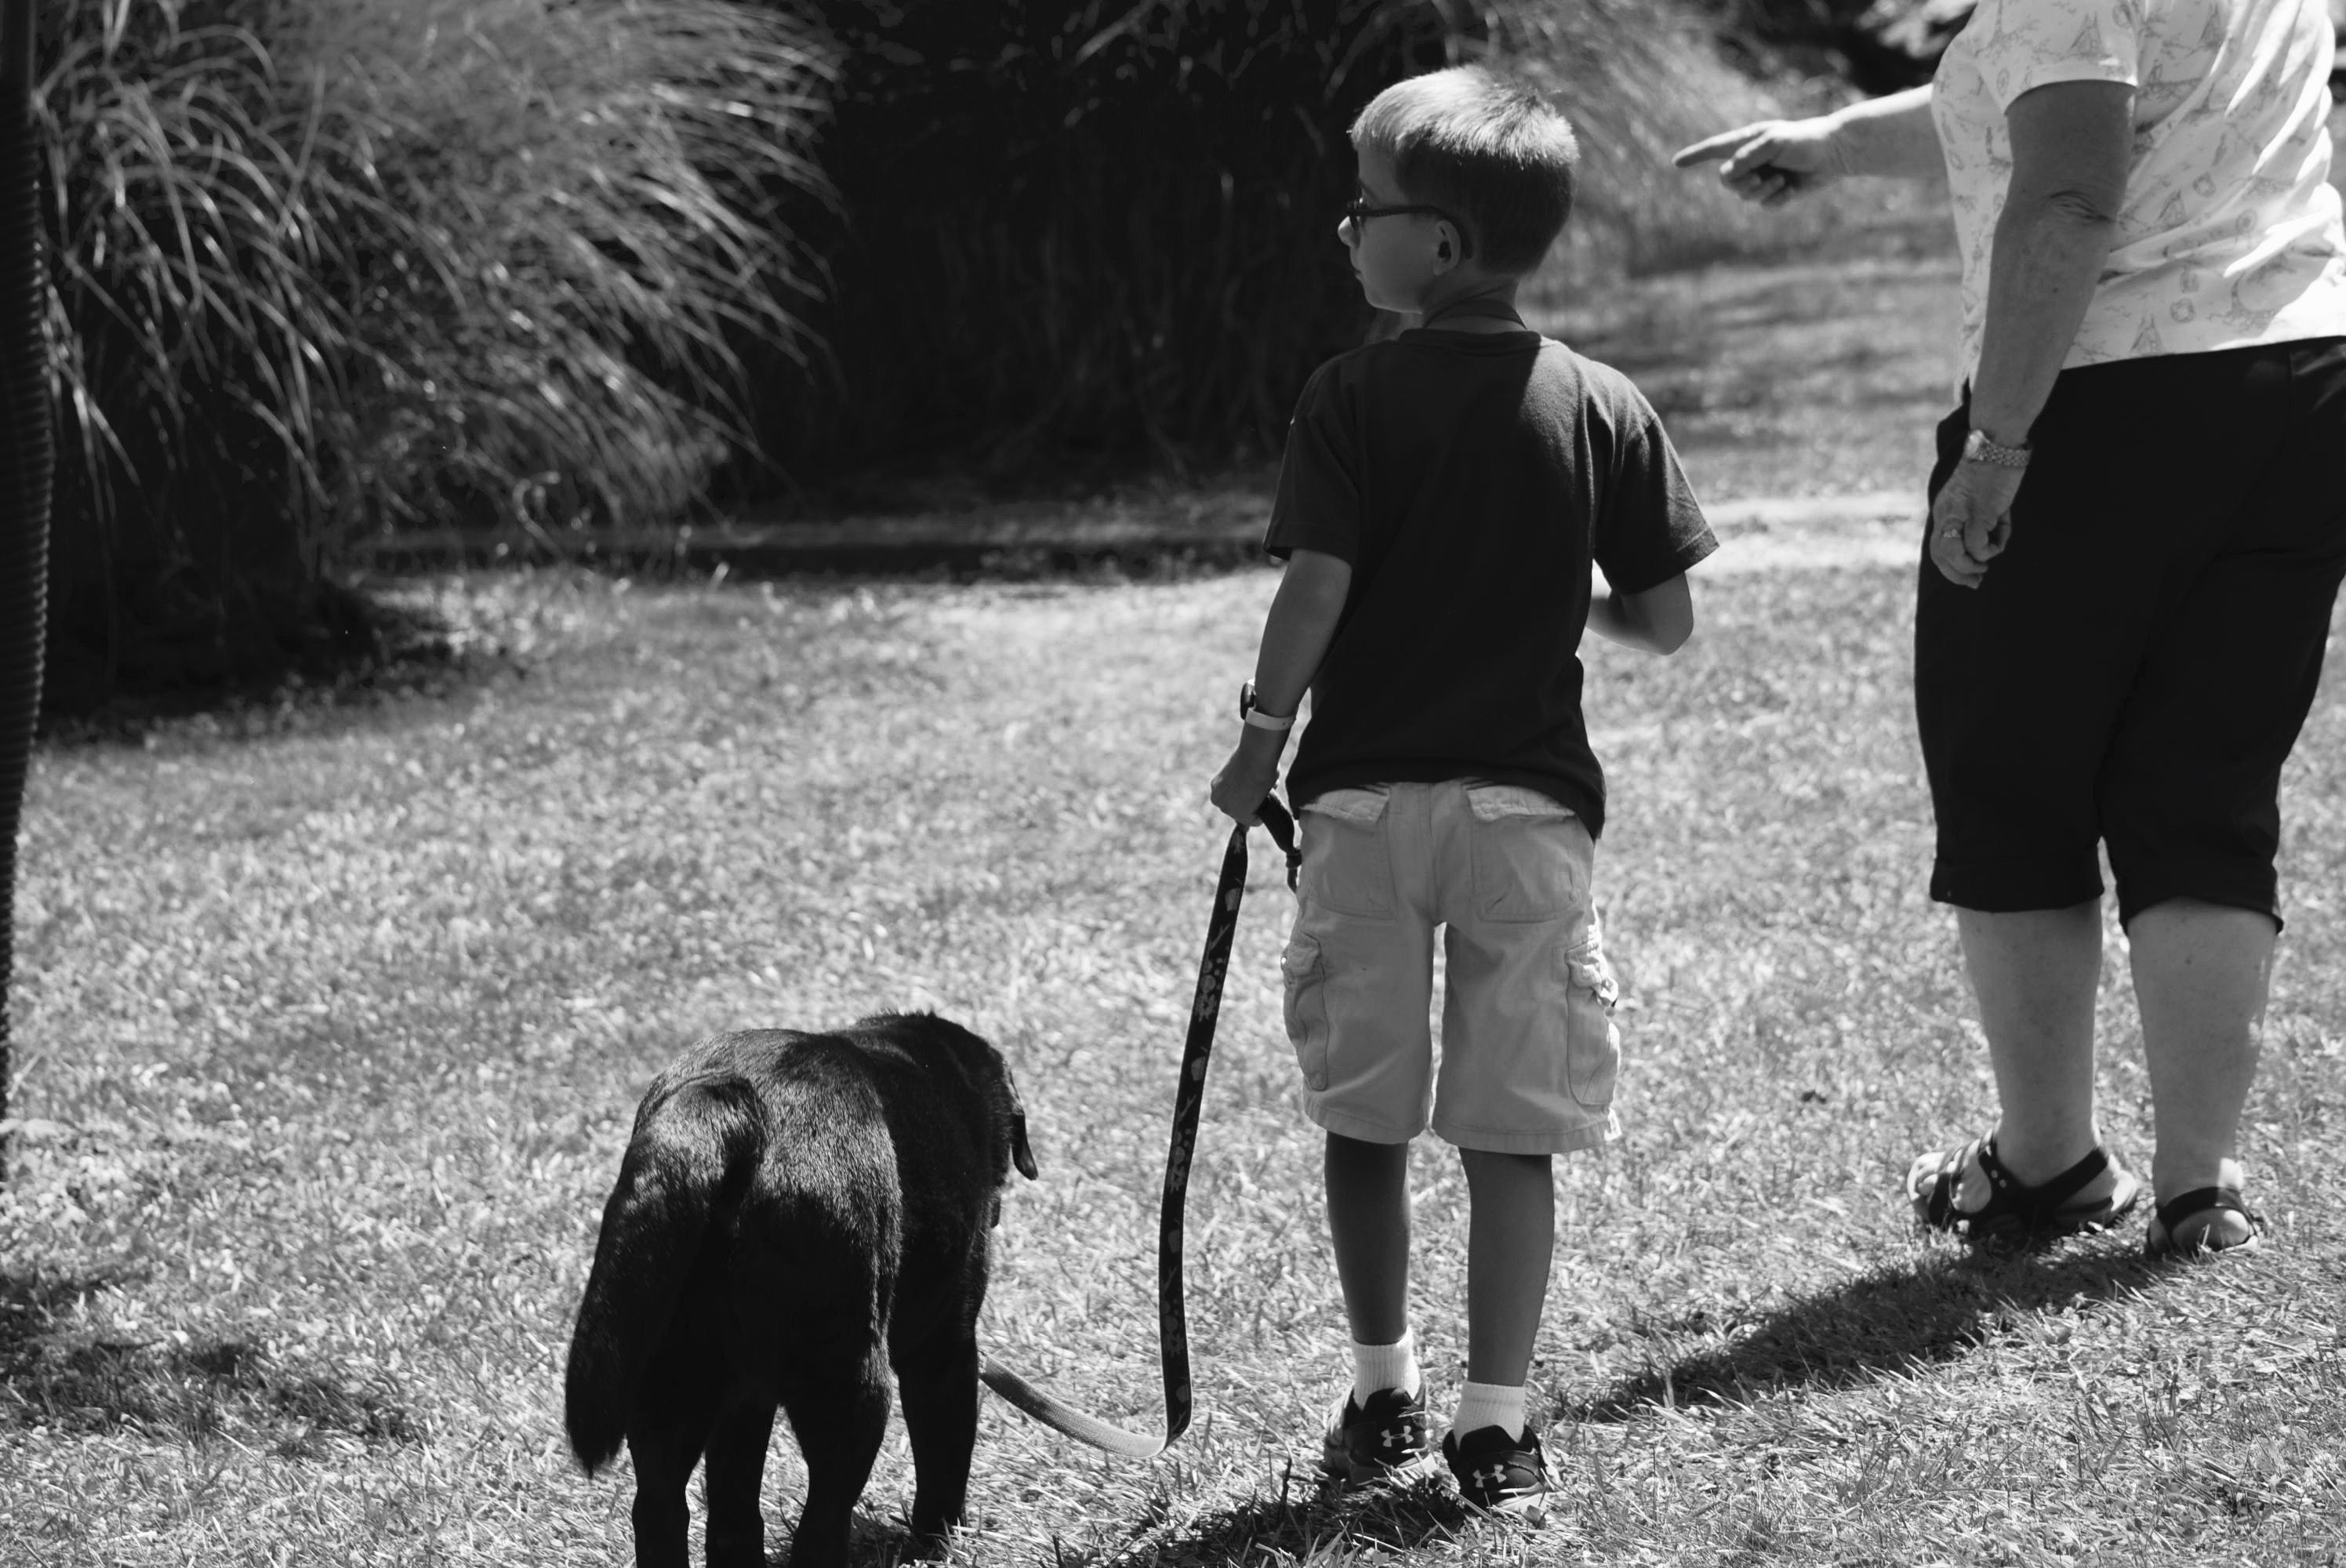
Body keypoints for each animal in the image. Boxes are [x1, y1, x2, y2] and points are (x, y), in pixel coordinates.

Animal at [558, 1009, 1037, 1559]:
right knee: (822, 1521)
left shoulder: (744, 1397)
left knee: (673, 1512)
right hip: (851, 1386)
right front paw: (941, 1544)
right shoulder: (946, 1350)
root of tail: (728, 1103)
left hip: (671, 1377)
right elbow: (945, 1460)